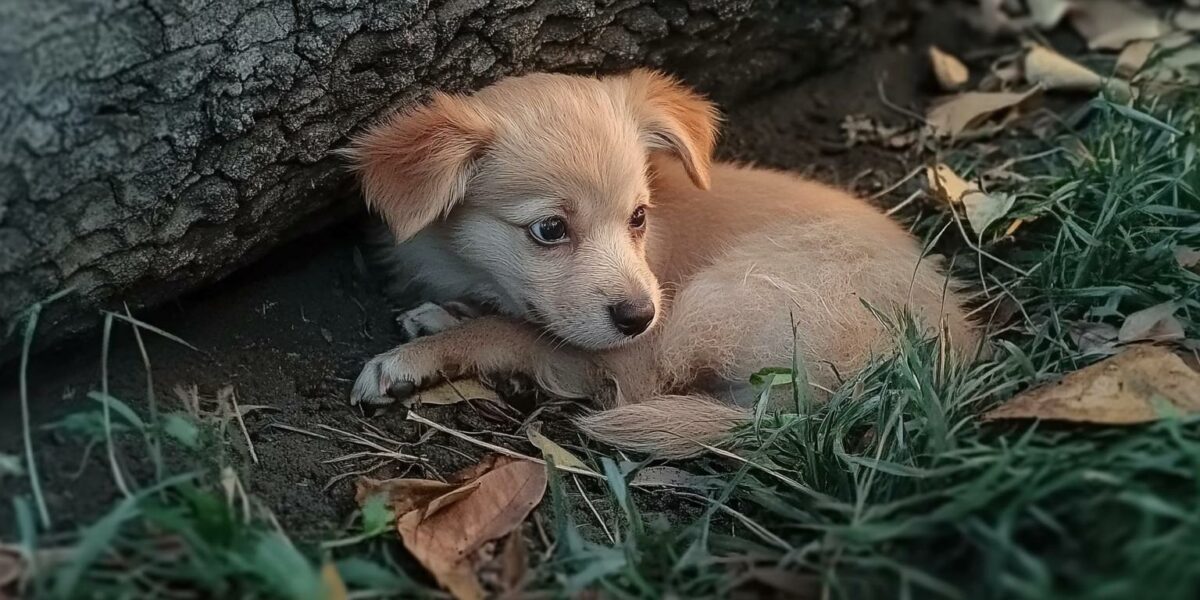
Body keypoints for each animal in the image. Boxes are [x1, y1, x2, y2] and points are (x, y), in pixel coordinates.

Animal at [345, 69, 974, 453]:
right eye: (550, 230)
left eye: (639, 217)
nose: (639, 316)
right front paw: (445, 313)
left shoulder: (628, 347)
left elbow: (515, 331)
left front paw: (414, 357)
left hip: (712, 302)